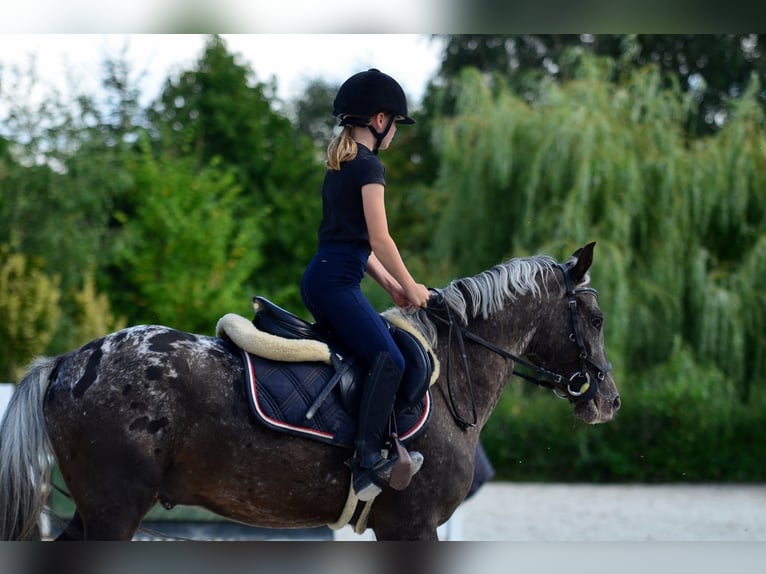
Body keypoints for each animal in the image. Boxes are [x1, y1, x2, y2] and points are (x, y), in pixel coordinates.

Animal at [0, 242, 620, 541]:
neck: (449, 377)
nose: (608, 400)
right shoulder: (413, 526)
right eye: (595, 318)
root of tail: (67, 362)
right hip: (115, 509)